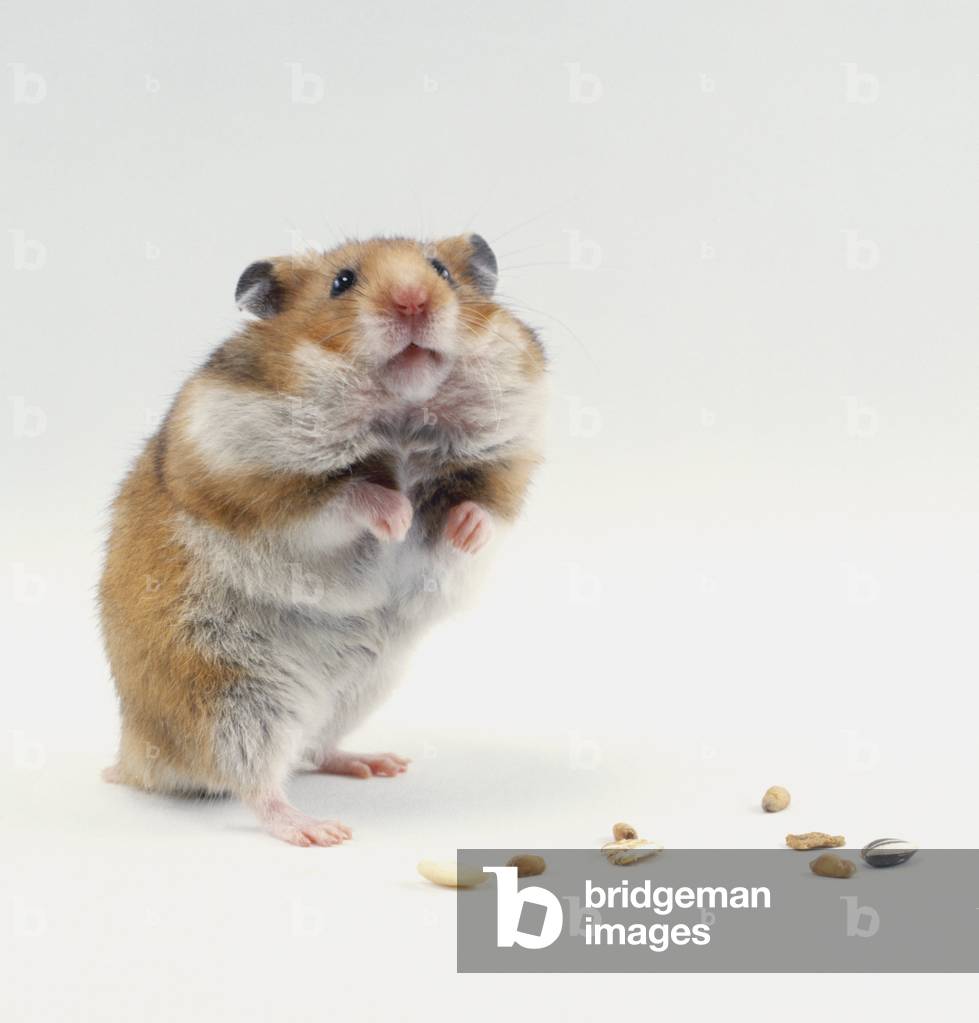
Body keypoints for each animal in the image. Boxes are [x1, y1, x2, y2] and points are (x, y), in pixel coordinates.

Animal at [98, 233, 546, 846]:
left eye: (441, 272)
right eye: (342, 283)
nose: (413, 302)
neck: (401, 414)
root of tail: (137, 758)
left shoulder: (511, 455)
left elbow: (485, 502)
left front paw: (463, 529)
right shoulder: (252, 483)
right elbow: (345, 497)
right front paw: (399, 516)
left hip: (360, 689)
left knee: (313, 750)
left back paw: (378, 764)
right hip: (233, 699)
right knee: (255, 784)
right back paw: (319, 832)